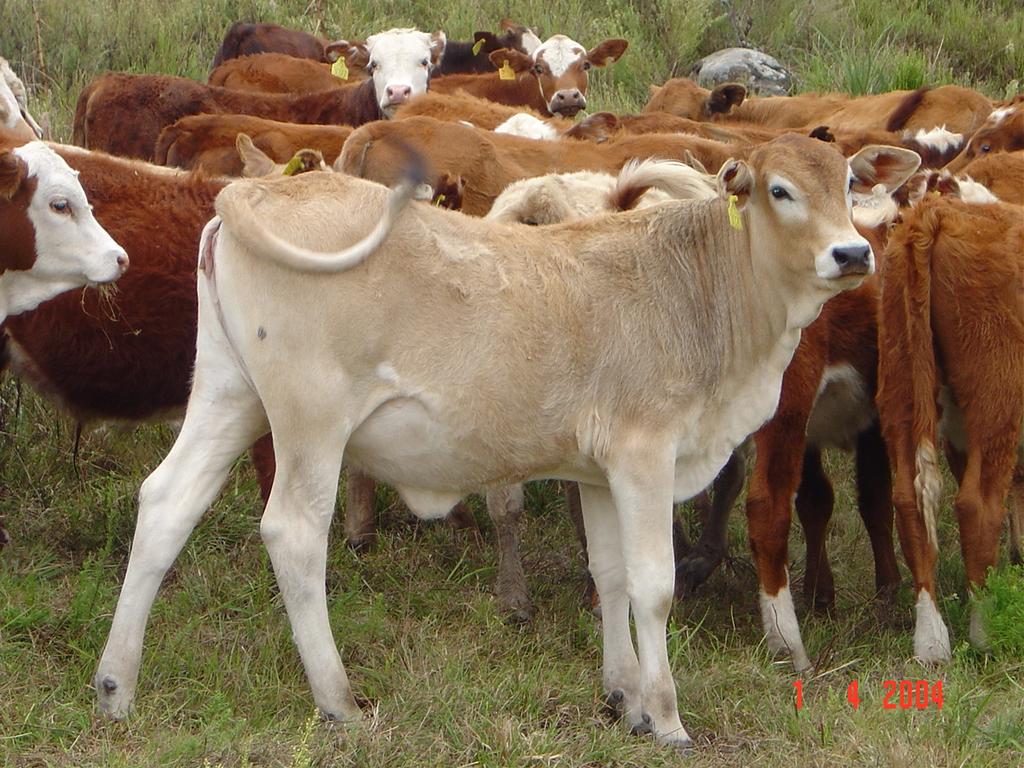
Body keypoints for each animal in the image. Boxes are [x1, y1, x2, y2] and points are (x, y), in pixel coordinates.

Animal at [96, 134, 876, 753]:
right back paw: (338, 699)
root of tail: (259, 187)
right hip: (310, 421)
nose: (854, 251)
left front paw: (623, 699)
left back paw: (116, 685)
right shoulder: (645, 455)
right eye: (781, 190)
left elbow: (611, 577)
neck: (695, 289)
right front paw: (667, 718)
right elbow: (653, 587)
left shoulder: (598, 473)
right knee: (293, 533)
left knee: (165, 504)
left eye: (848, 185)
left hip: (227, 397)